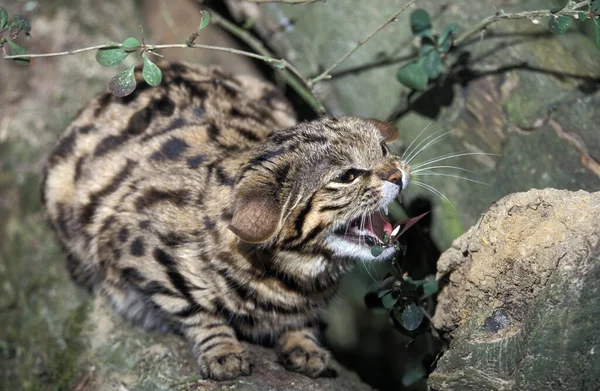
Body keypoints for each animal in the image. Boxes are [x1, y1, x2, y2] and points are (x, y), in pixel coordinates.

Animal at [41, 62, 408, 382]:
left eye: (383, 148)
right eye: (347, 176)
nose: (398, 174)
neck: (293, 278)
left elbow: (301, 323)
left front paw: (303, 340)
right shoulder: (132, 247)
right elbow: (194, 309)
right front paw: (222, 349)